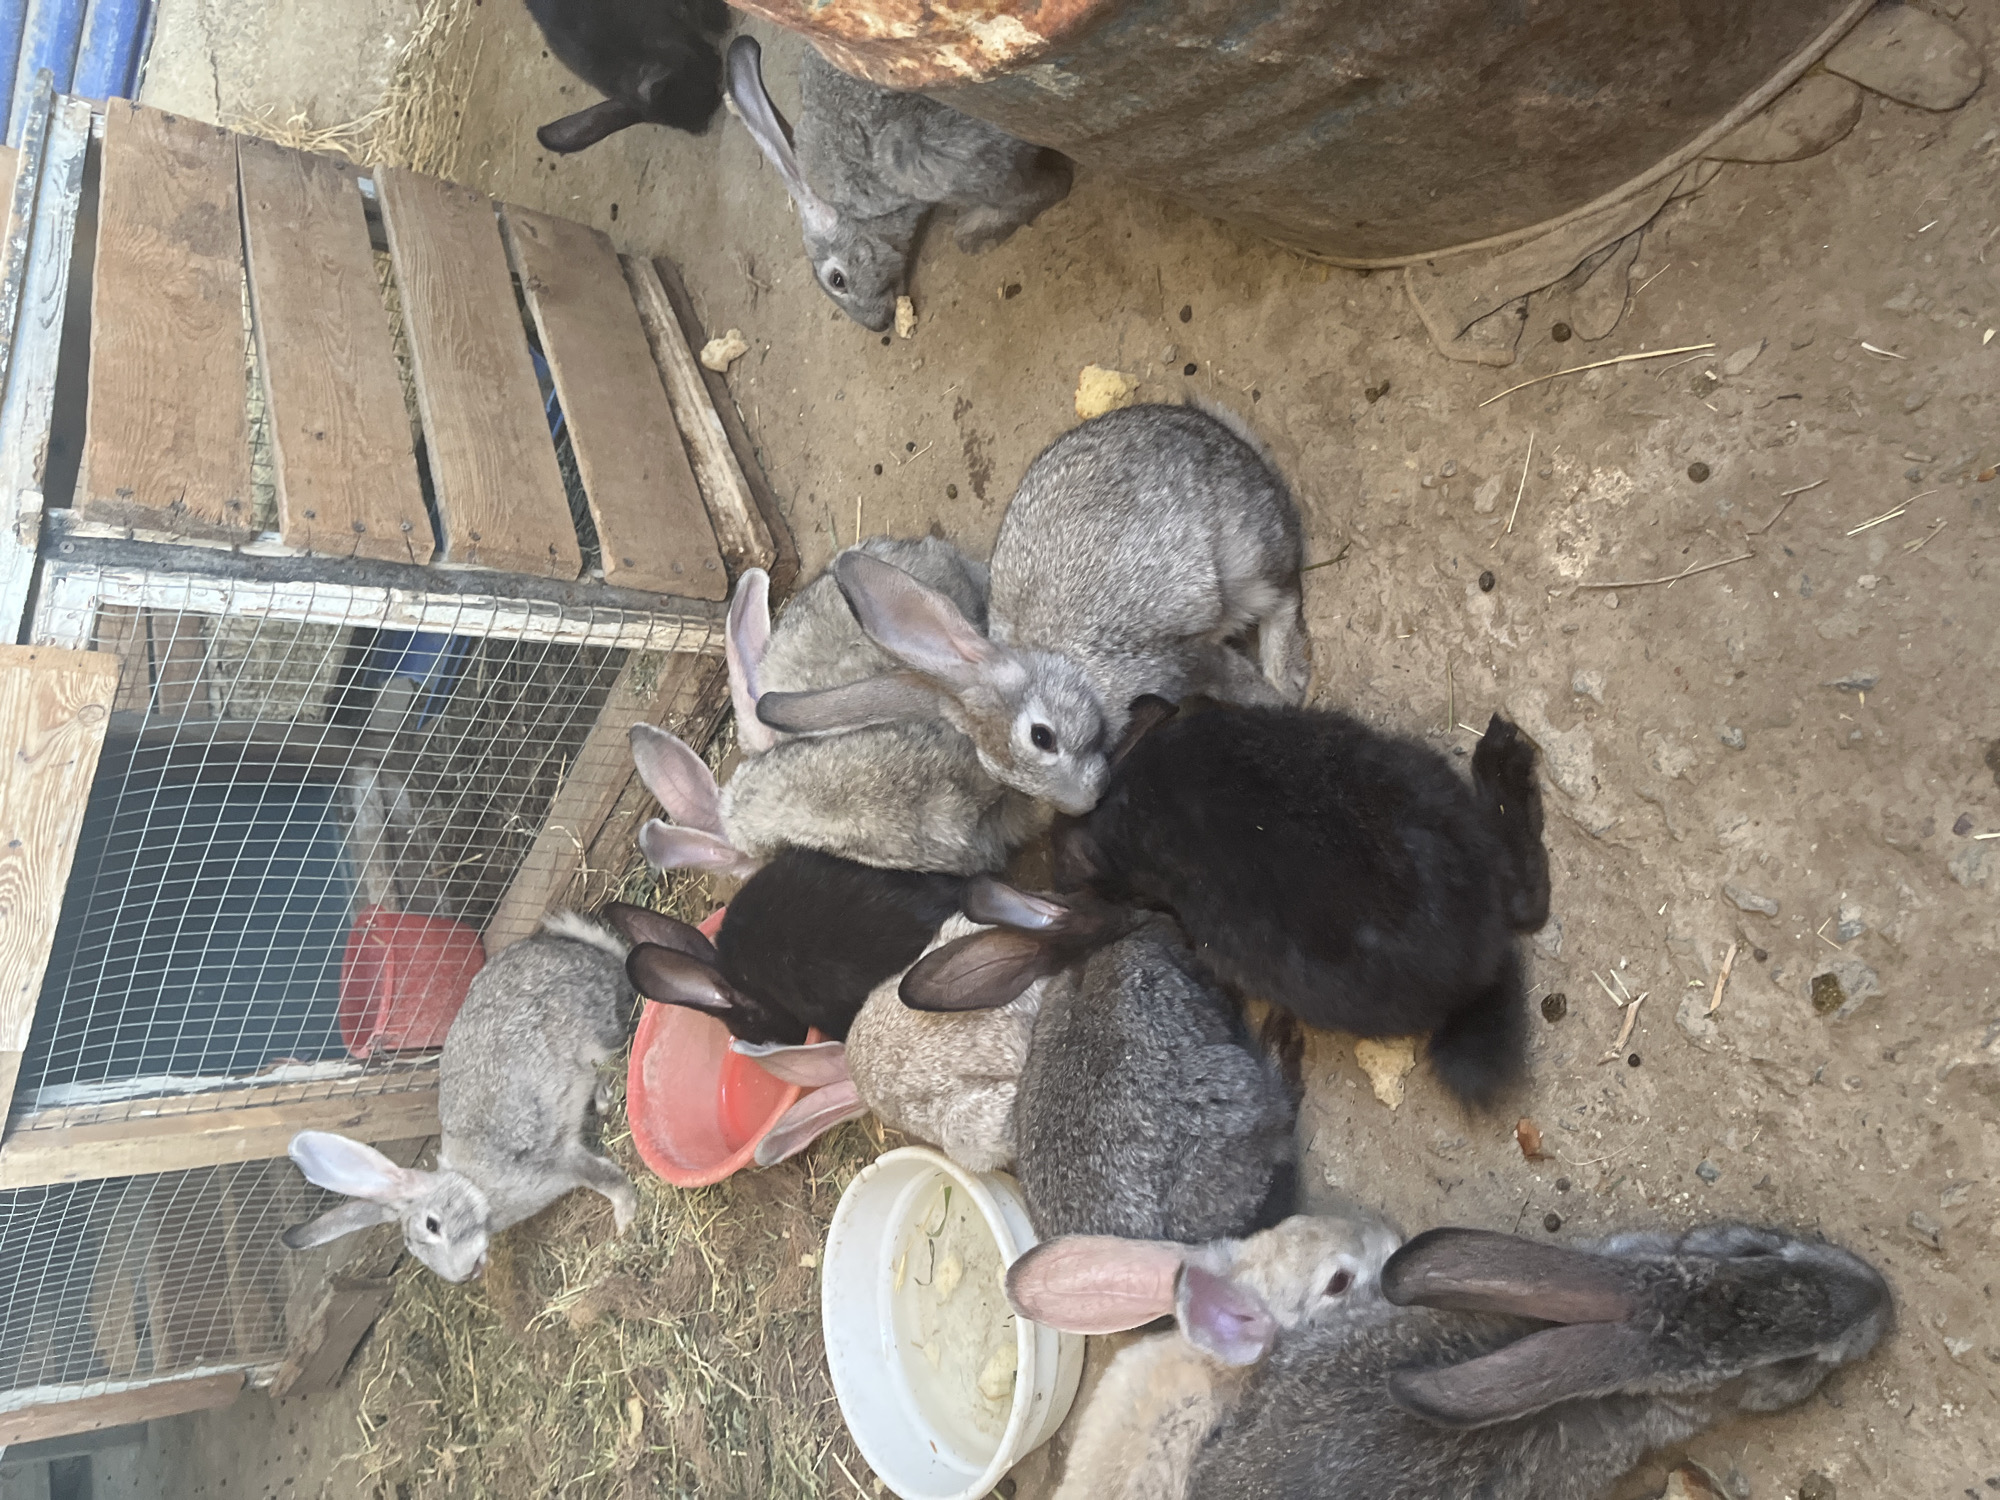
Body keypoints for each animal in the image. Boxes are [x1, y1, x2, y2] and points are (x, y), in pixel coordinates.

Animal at [280, 912, 637, 1283]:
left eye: (432, 1225)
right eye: (414, 1251)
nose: (463, 1276)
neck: (474, 1186)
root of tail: (598, 957)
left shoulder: (559, 1160)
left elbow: (605, 1178)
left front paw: (626, 1219)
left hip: (595, 1038)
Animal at [757, 401, 1310, 816]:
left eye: (1042, 737)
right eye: (1008, 780)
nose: (1083, 804)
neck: (1072, 669)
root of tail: (1227, 439)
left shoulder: (1177, 657)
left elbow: (1232, 680)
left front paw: (1280, 706)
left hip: (1247, 558)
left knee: (1284, 593)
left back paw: (1289, 675)